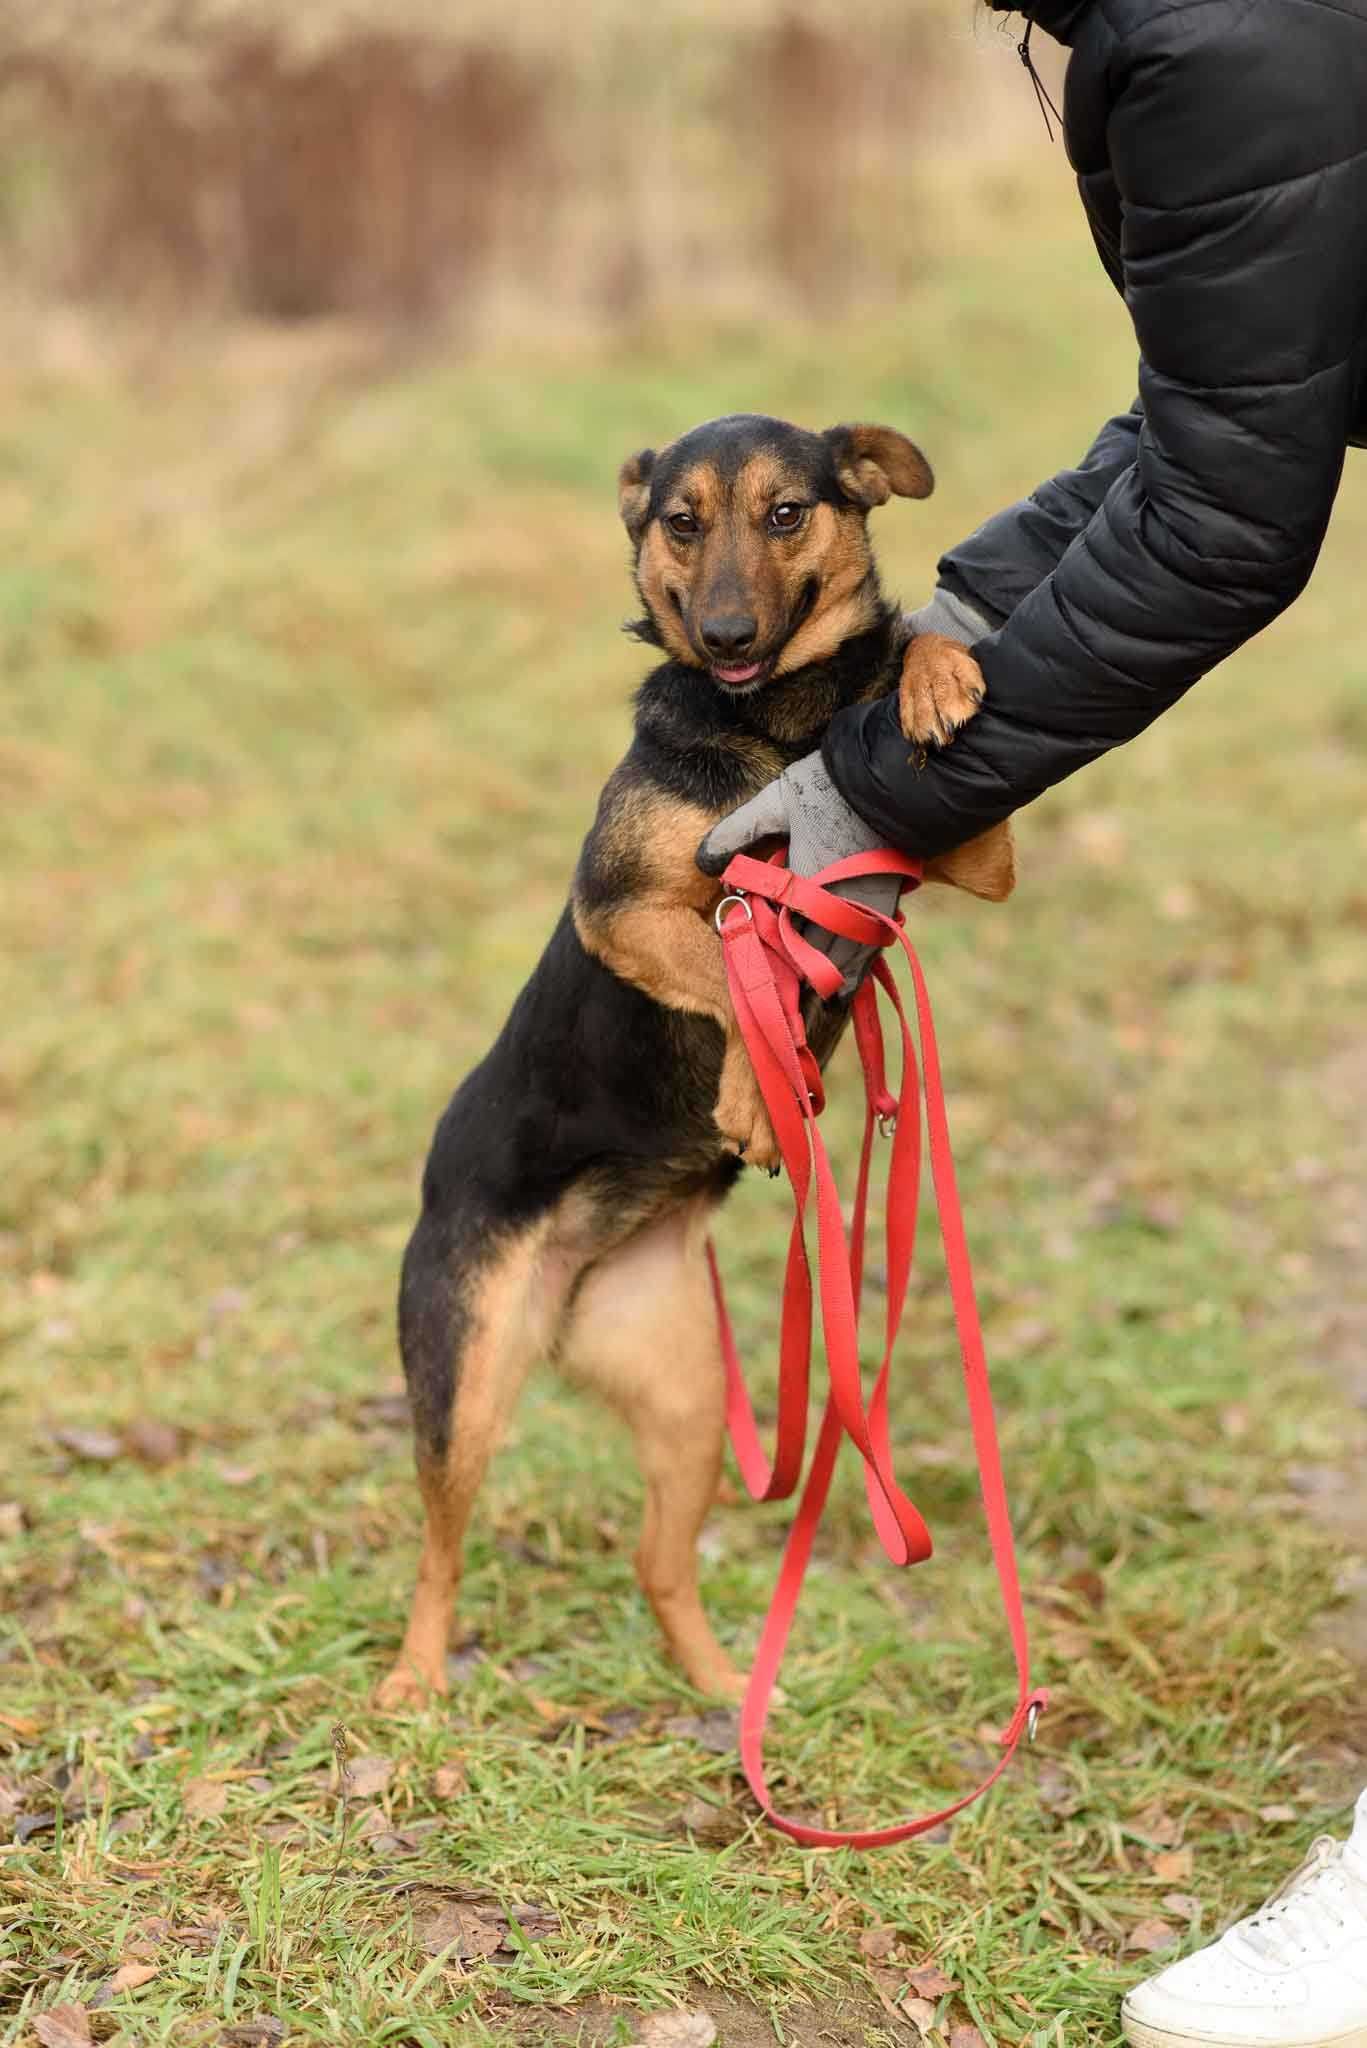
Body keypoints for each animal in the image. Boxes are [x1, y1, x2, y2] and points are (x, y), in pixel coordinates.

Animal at [375, 415, 1016, 1712]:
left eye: (785, 513)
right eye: (680, 521)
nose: (722, 634)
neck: (781, 719)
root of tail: (566, 1284)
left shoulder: (971, 856)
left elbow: (906, 662)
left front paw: (932, 672)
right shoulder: (622, 905)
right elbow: (729, 961)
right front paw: (751, 1099)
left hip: (685, 1404)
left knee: (657, 1564)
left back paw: (729, 1687)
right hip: (464, 1379)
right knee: (438, 1552)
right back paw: (416, 1682)